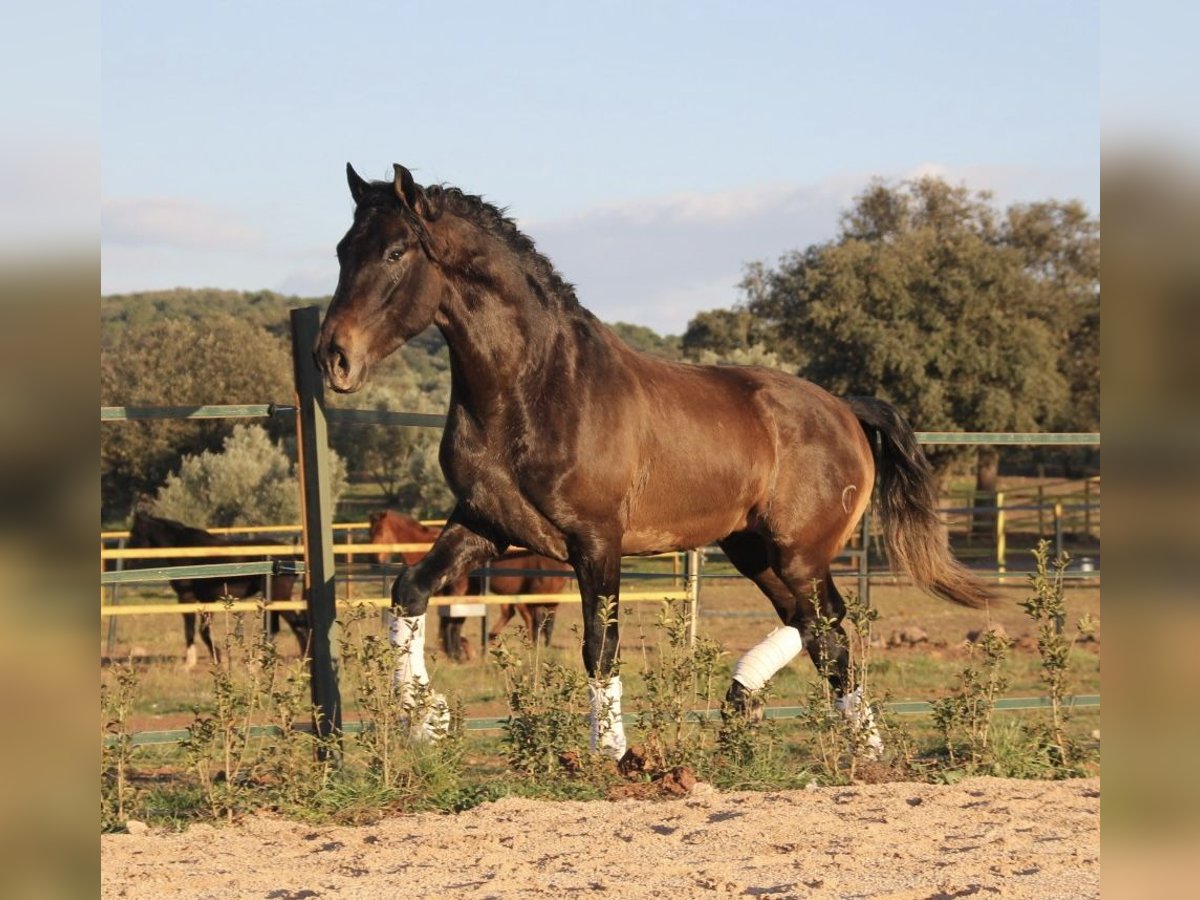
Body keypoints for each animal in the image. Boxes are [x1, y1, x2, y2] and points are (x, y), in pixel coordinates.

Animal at [126, 513, 309, 672]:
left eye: (135, 532)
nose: (129, 561)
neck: (186, 551)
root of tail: (292, 557)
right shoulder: (206, 600)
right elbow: (204, 631)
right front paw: (218, 658)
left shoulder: (186, 598)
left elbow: (192, 631)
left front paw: (191, 664)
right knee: (277, 628)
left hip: (279, 598)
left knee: (298, 626)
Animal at [364, 511, 566, 657]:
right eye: (369, 532)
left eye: (380, 532)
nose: (373, 559)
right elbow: (449, 621)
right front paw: (452, 649)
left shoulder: (458, 591)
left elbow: (453, 621)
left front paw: (455, 652)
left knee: (535, 619)